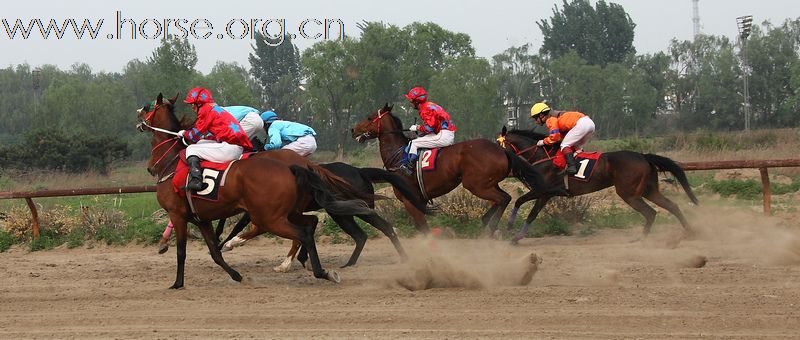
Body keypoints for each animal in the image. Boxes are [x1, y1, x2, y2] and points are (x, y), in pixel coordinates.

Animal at [138, 93, 376, 286]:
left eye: (149, 107)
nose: (150, 168)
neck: (170, 163)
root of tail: (297, 165)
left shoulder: (177, 214)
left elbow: (182, 251)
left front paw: (177, 282)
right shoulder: (201, 218)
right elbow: (214, 250)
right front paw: (235, 274)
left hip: (270, 215)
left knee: (300, 232)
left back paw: (307, 268)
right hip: (287, 211)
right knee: (310, 225)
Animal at [350, 102, 564, 234]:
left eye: (369, 117)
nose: (353, 129)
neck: (398, 156)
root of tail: (501, 150)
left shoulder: (410, 201)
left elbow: (423, 229)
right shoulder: (419, 200)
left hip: (475, 184)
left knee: (503, 199)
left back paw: (490, 228)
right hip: (488, 183)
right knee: (504, 198)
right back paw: (487, 222)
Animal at [496, 126, 696, 243]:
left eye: (499, 145)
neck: (542, 157)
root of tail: (643, 156)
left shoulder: (543, 191)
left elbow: (522, 205)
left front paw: (511, 231)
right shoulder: (546, 194)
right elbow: (530, 212)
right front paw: (516, 235)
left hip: (629, 193)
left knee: (650, 212)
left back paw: (642, 239)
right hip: (649, 190)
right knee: (671, 206)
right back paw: (689, 232)